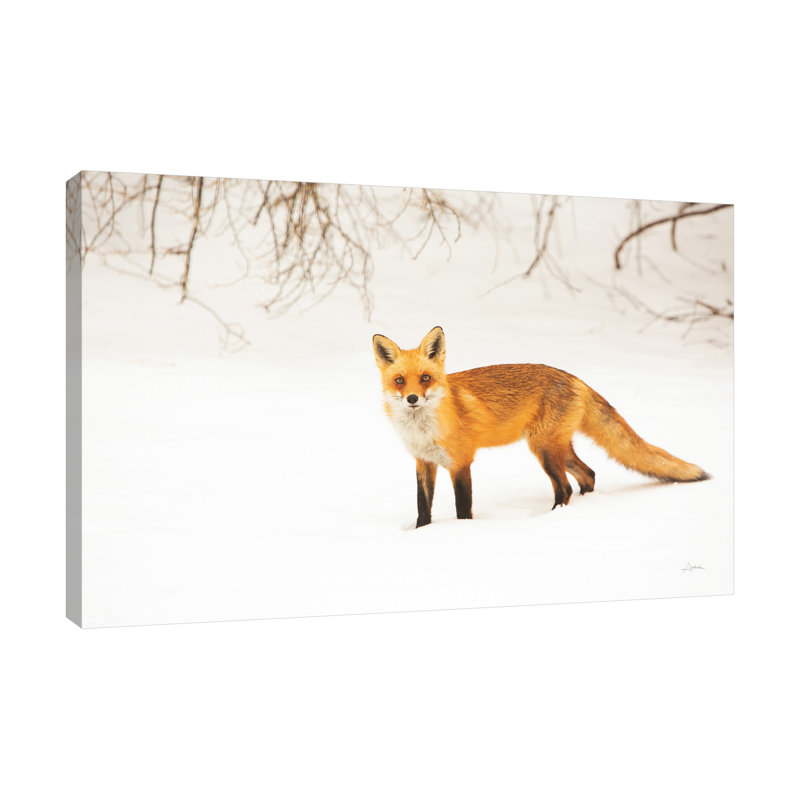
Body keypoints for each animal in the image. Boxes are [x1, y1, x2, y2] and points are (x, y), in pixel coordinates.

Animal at [372, 326, 710, 528]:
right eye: (400, 380)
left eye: (426, 378)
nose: (413, 399)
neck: (424, 430)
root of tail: (575, 378)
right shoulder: (424, 462)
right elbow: (423, 507)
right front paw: (421, 533)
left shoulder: (460, 462)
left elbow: (463, 508)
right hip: (556, 448)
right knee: (588, 475)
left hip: (543, 449)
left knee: (565, 486)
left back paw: (548, 521)